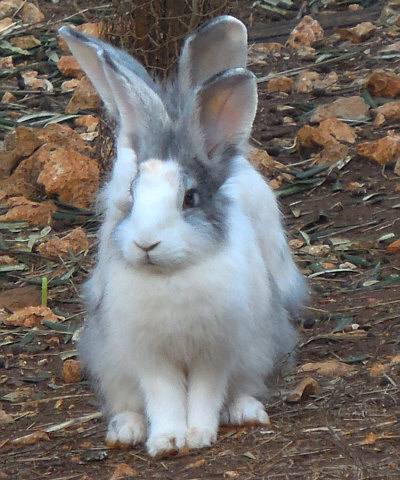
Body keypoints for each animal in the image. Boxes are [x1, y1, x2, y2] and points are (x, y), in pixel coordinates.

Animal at [59, 15, 307, 458]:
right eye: (133, 193)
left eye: (189, 198)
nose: (146, 244)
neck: (170, 275)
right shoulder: (150, 357)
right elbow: (164, 397)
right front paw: (168, 441)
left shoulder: (216, 353)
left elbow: (205, 394)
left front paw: (199, 435)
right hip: (111, 364)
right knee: (127, 403)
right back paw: (126, 430)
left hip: (257, 350)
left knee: (242, 386)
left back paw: (245, 411)